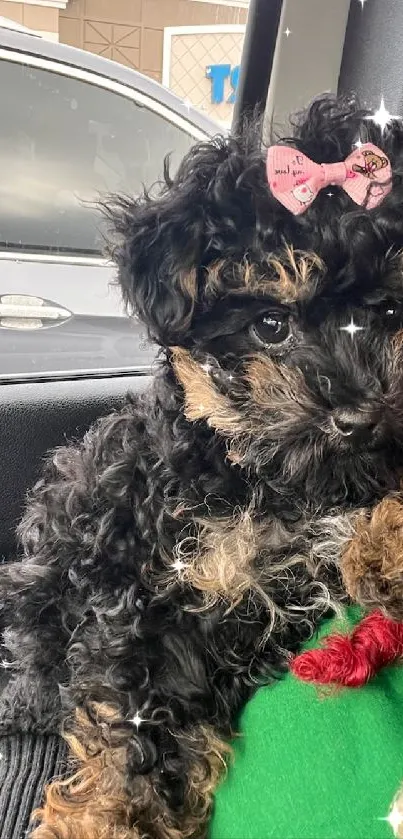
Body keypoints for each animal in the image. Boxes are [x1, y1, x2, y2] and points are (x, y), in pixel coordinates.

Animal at [2, 92, 403, 839]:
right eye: (270, 325)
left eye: (392, 310)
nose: (360, 417)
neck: (280, 489)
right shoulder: (151, 589)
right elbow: (133, 723)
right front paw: (107, 818)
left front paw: (382, 545)